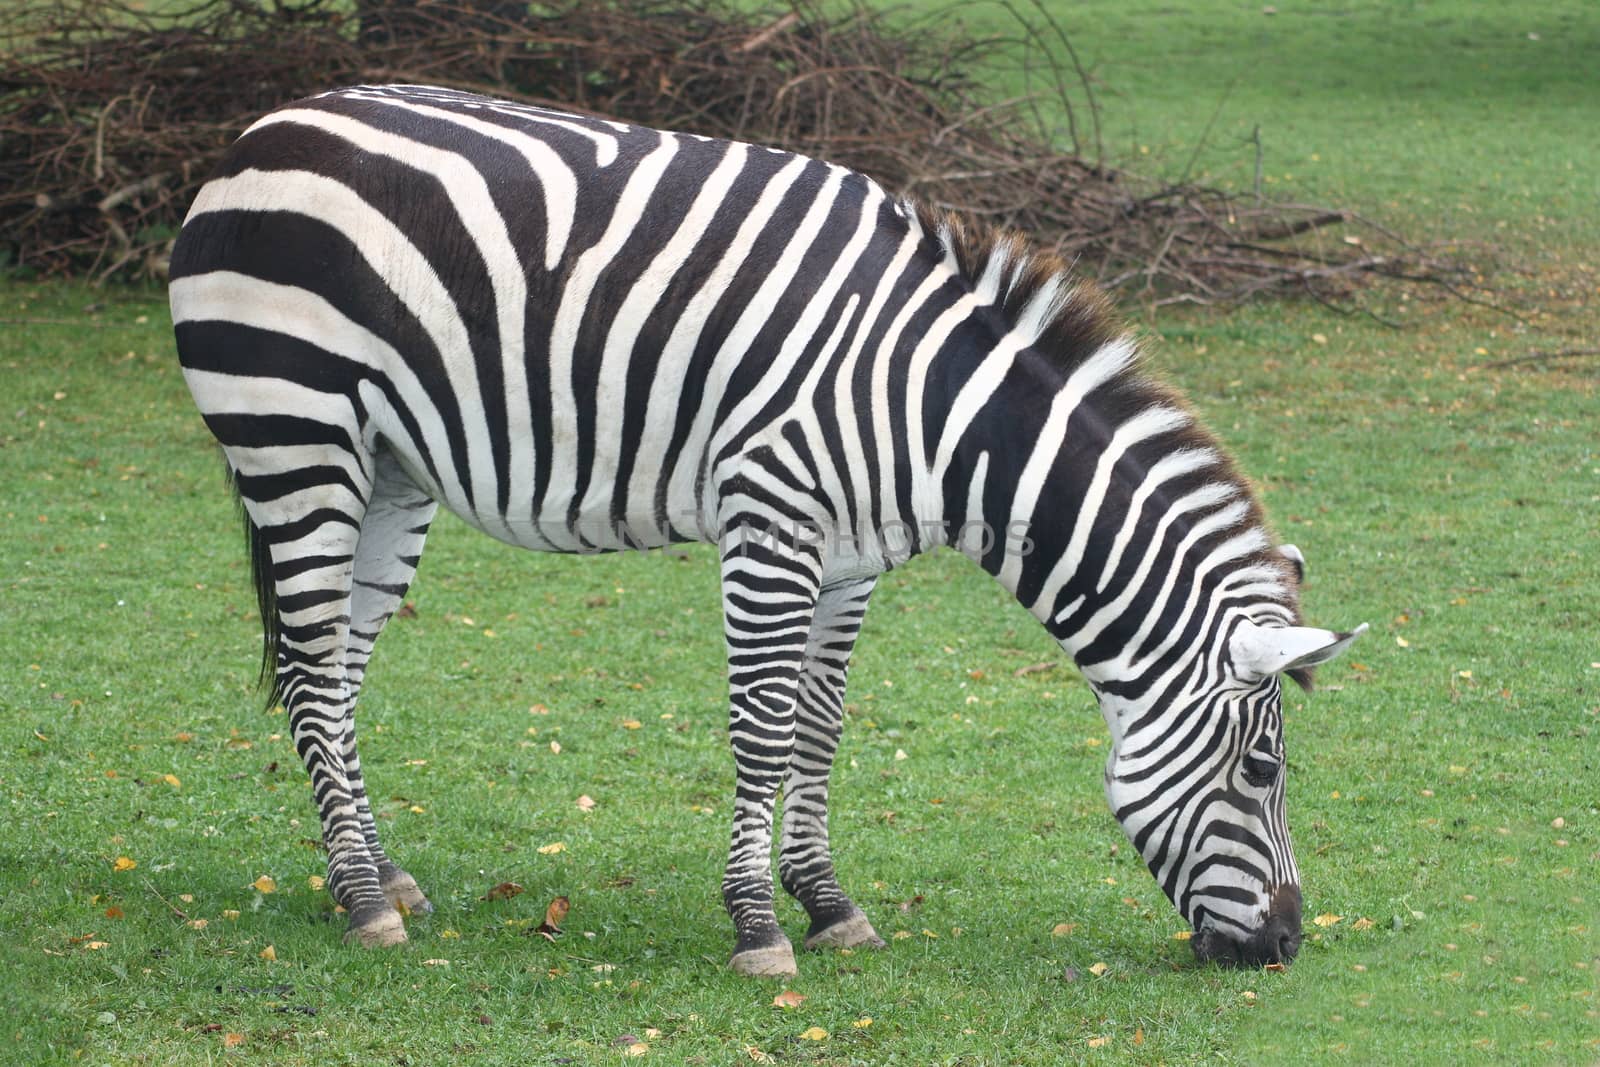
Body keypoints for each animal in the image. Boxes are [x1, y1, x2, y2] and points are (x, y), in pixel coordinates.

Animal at [172, 83, 1363, 979]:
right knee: (313, 669)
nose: (1285, 944)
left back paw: (377, 875)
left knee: (340, 669)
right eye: (1265, 767)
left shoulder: (852, 559)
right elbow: (760, 727)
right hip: (294, 433)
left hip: (389, 468)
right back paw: (362, 900)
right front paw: (756, 926)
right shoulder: (772, 524)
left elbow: (819, 727)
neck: (933, 407)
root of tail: (262, 132)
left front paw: (828, 903)